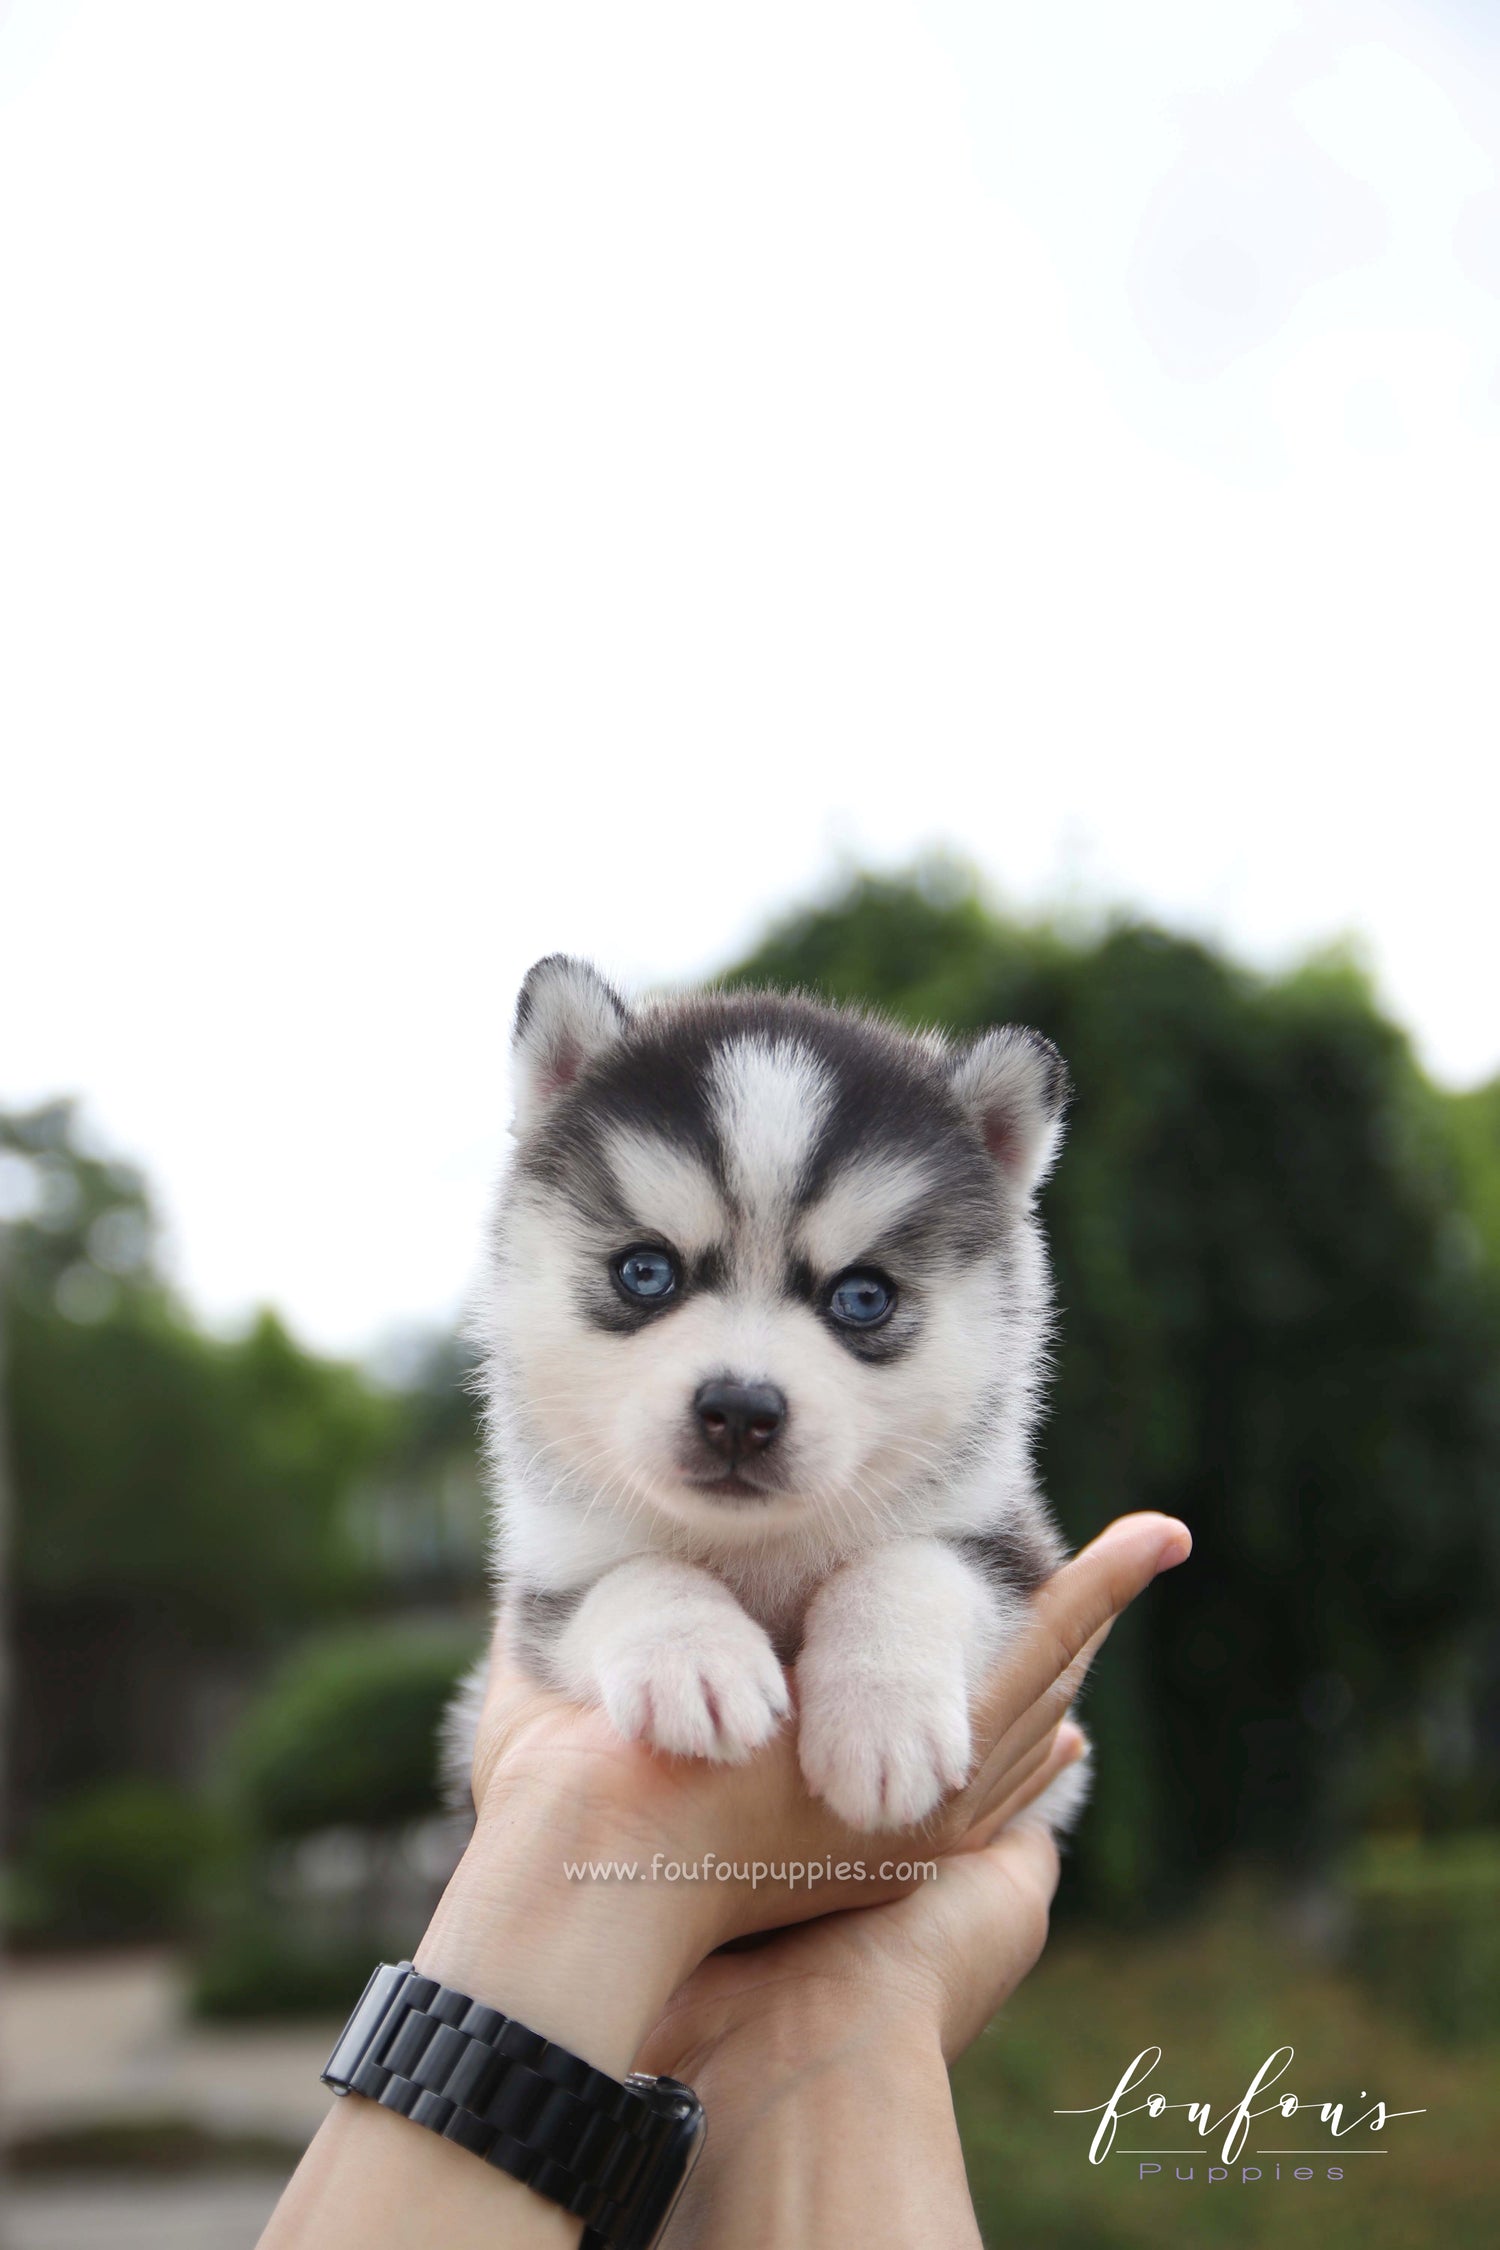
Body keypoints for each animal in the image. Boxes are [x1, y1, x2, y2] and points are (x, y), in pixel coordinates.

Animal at [452, 958, 1083, 1836]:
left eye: (863, 1296)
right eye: (645, 1271)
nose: (741, 1412)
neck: (758, 1549)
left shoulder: (1006, 1544)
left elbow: (905, 1565)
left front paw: (882, 1712)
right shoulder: (548, 1581)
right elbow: (630, 1575)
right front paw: (692, 1655)